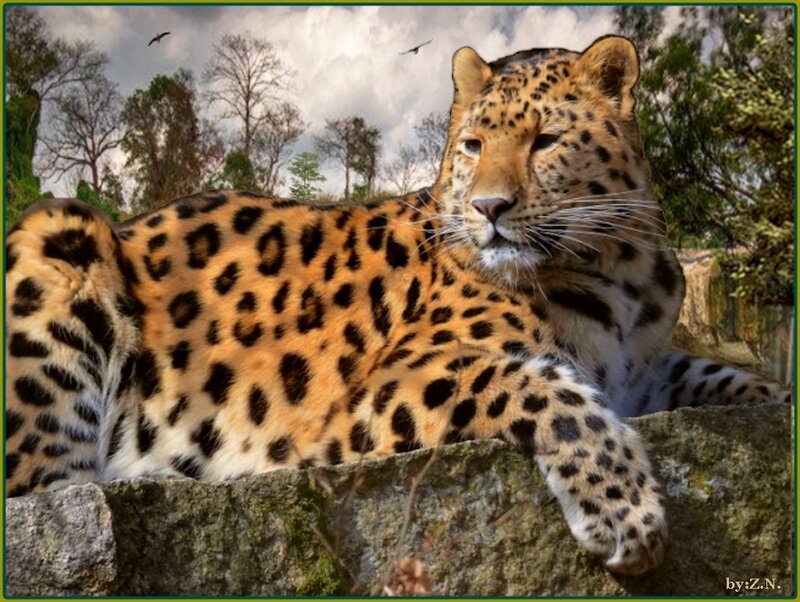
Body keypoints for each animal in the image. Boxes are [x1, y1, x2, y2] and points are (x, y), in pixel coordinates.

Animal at [5, 35, 790, 577]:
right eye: (472, 145)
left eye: (545, 141)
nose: (489, 208)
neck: (618, 266)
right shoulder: (391, 384)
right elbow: (544, 387)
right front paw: (623, 509)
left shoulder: (643, 368)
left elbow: (716, 373)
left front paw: (770, 399)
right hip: (56, 239)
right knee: (52, 494)